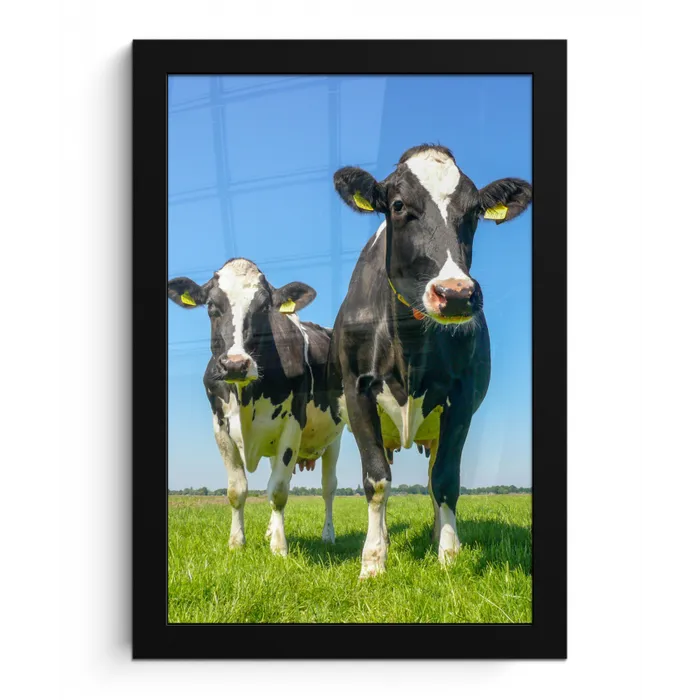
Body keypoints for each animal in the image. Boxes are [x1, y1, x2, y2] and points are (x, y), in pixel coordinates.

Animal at [168, 258, 345, 556]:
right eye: (212, 306)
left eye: (264, 307)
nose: (235, 364)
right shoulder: (220, 427)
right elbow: (237, 490)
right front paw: (237, 542)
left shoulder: (292, 425)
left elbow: (279, 490)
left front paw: (279, 547)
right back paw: (271, 529)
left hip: (335, 437)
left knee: (328, 488)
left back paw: (328, 535)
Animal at [329, 144, 532, 578]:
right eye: (399, 205)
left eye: (474, 211)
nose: (455, 294)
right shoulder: (357, 392)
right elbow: (376, 480)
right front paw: (373, 561)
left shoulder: (461, 399)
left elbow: (445, 480)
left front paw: (449, 555)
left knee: (432, 476)